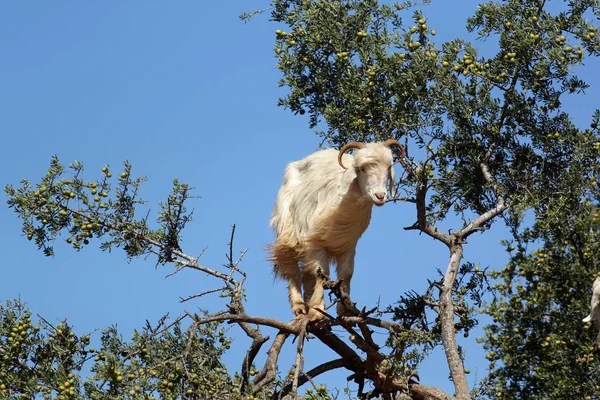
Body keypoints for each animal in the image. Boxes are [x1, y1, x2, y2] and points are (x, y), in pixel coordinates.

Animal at [268, 139, 406, 320]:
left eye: (389, 167)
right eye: (361, 168)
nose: (380, 196)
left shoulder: (349, 245)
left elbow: (346, 273)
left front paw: (345, 308)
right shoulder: (315, 242)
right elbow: (322, 273)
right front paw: (317, 311)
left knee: (306, 274)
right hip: (287, 229)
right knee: (291, 268)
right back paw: (299, 307)